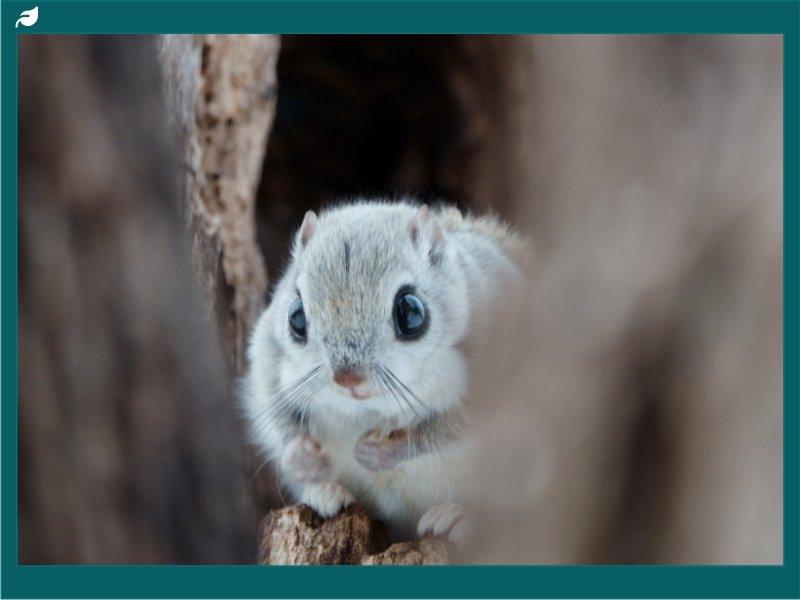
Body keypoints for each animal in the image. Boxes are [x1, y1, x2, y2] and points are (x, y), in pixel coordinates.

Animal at [242, 199, 524, 540]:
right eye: (296, 317)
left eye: (411, 313)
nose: (347, 378)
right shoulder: (266, 358)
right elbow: (278, 418)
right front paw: (305, 457)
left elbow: (451, 427)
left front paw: (380, 452)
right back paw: (326, 493)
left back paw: (456, 517)